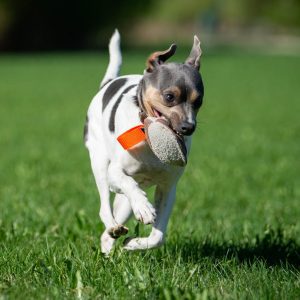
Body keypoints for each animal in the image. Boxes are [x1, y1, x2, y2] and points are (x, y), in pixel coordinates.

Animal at [84, 29, 204, 253]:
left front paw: (133, 244)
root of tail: (107, 84)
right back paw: (113, 225)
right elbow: (128, 184)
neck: (147, 135)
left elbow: (158, 237)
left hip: (124, 204)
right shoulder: (115, 173)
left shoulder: (168, 188)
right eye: (169, 96)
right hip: (100, 163)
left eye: (198, 101)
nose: (189, 127)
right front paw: (144, 208)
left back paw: (110, 245)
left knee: (109, 230)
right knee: (105, 207)